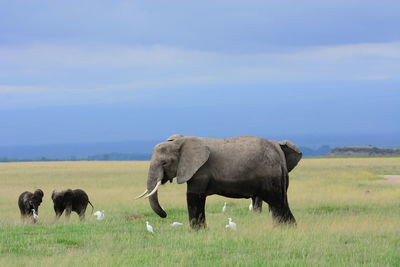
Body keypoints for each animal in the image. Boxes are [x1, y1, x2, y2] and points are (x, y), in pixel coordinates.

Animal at [136, 135, 302, 229]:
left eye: (164, 163)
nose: (165, 214)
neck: (180, 141)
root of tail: (278, 151)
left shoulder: (200, 170)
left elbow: (193, 196)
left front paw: (197, 231)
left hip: (269, 175)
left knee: (277, 202)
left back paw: (284, 229)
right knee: (281, 201)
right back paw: (287, 228)